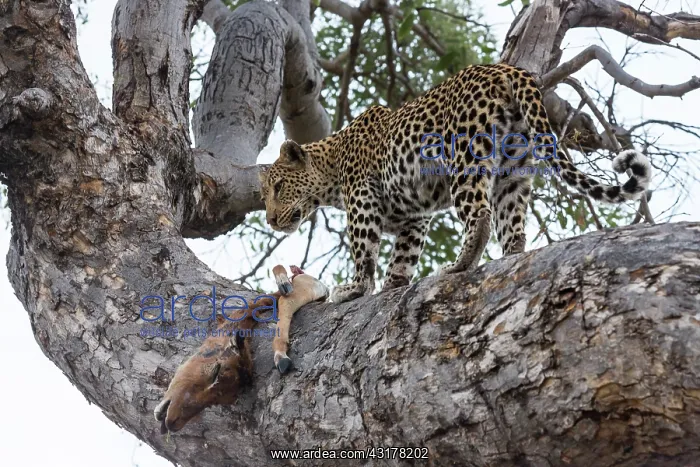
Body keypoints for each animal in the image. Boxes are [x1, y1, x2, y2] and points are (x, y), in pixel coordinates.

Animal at [259, 63, 651, 304]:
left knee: (480, 216)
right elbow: (403, 256)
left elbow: (364, 252)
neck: (332, 168)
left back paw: (458, 266)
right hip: (514, 169)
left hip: (466, 157)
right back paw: (508, 258)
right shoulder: (415, 217)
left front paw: (355, 289)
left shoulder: (362, 200)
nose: (271, 220)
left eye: (278, 188)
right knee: (513, 227)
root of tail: (505, 68)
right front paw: (393, 286)